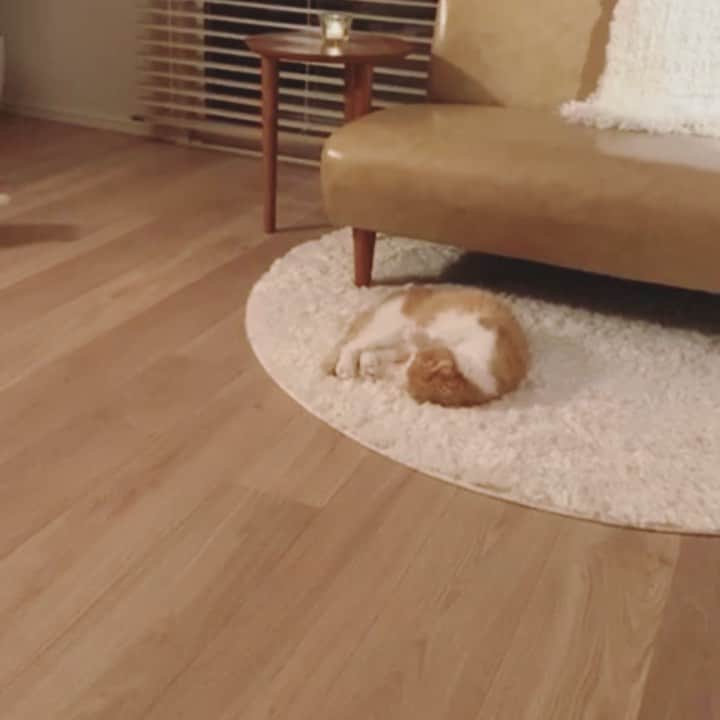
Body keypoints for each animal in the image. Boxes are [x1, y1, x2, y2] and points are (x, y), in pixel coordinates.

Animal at [333, 286, 529, 407]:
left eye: (410, 366)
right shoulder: (477, 326)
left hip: (394, 343)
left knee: (369, 351)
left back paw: (368, 365)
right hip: (389, 329)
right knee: (352, 344)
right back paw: (346, 368)